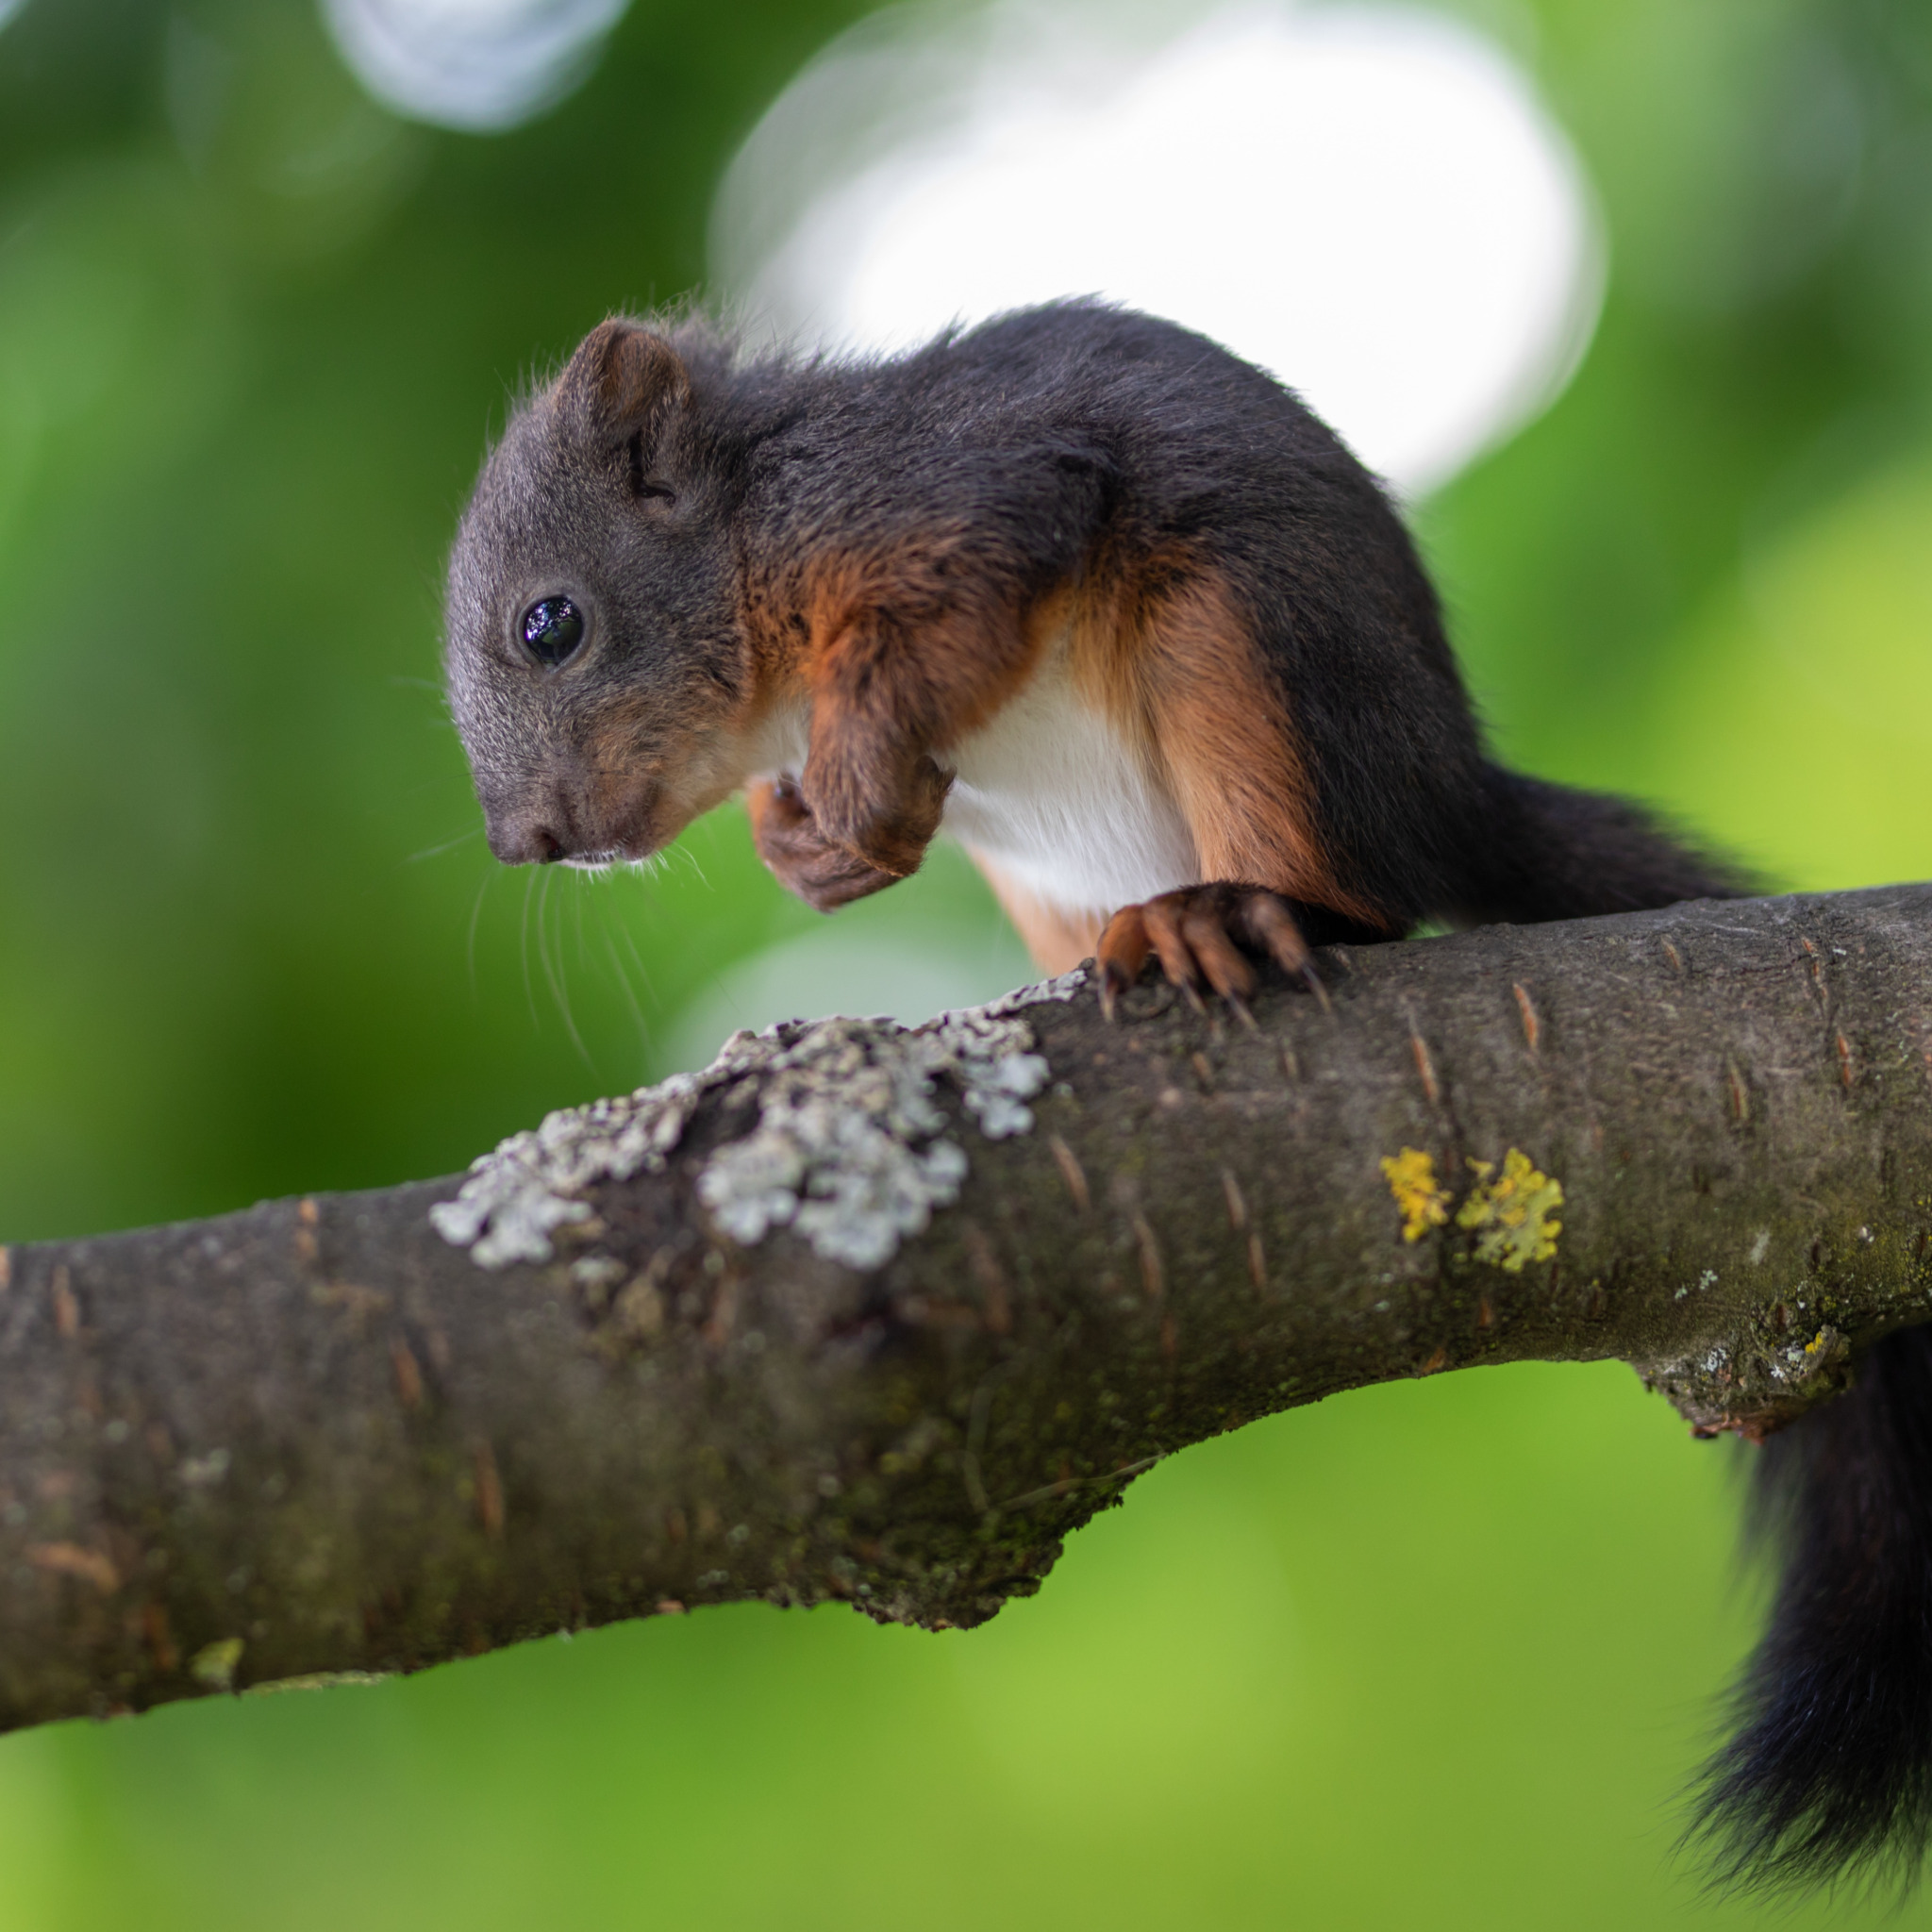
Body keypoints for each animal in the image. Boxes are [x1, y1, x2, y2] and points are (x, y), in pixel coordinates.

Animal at [441, 293, 1932, 1893]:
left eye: (551, 624)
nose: (528, 841)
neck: (754, 556)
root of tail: (1446, 795)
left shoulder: (952, 501)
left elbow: (957, 611)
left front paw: (855, 787)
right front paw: (805, 842)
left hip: (1242, 647)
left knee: (1364, 898)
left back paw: (1234, 916)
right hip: (1057, 869)